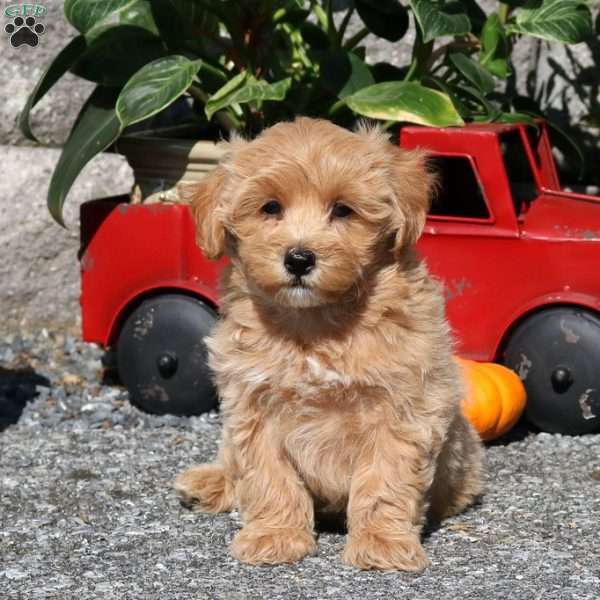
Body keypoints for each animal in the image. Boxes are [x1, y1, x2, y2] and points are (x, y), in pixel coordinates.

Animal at [175, 117, 482, 572]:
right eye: (270, 208)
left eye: (342, 209)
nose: (299, 259)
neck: (315, 324)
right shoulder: (252, 404)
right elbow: (269, 476)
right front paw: (275, 536)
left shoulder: (404, 406)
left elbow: (385, 478)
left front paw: (381, 543)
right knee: (232, 461)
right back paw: (210, 481)